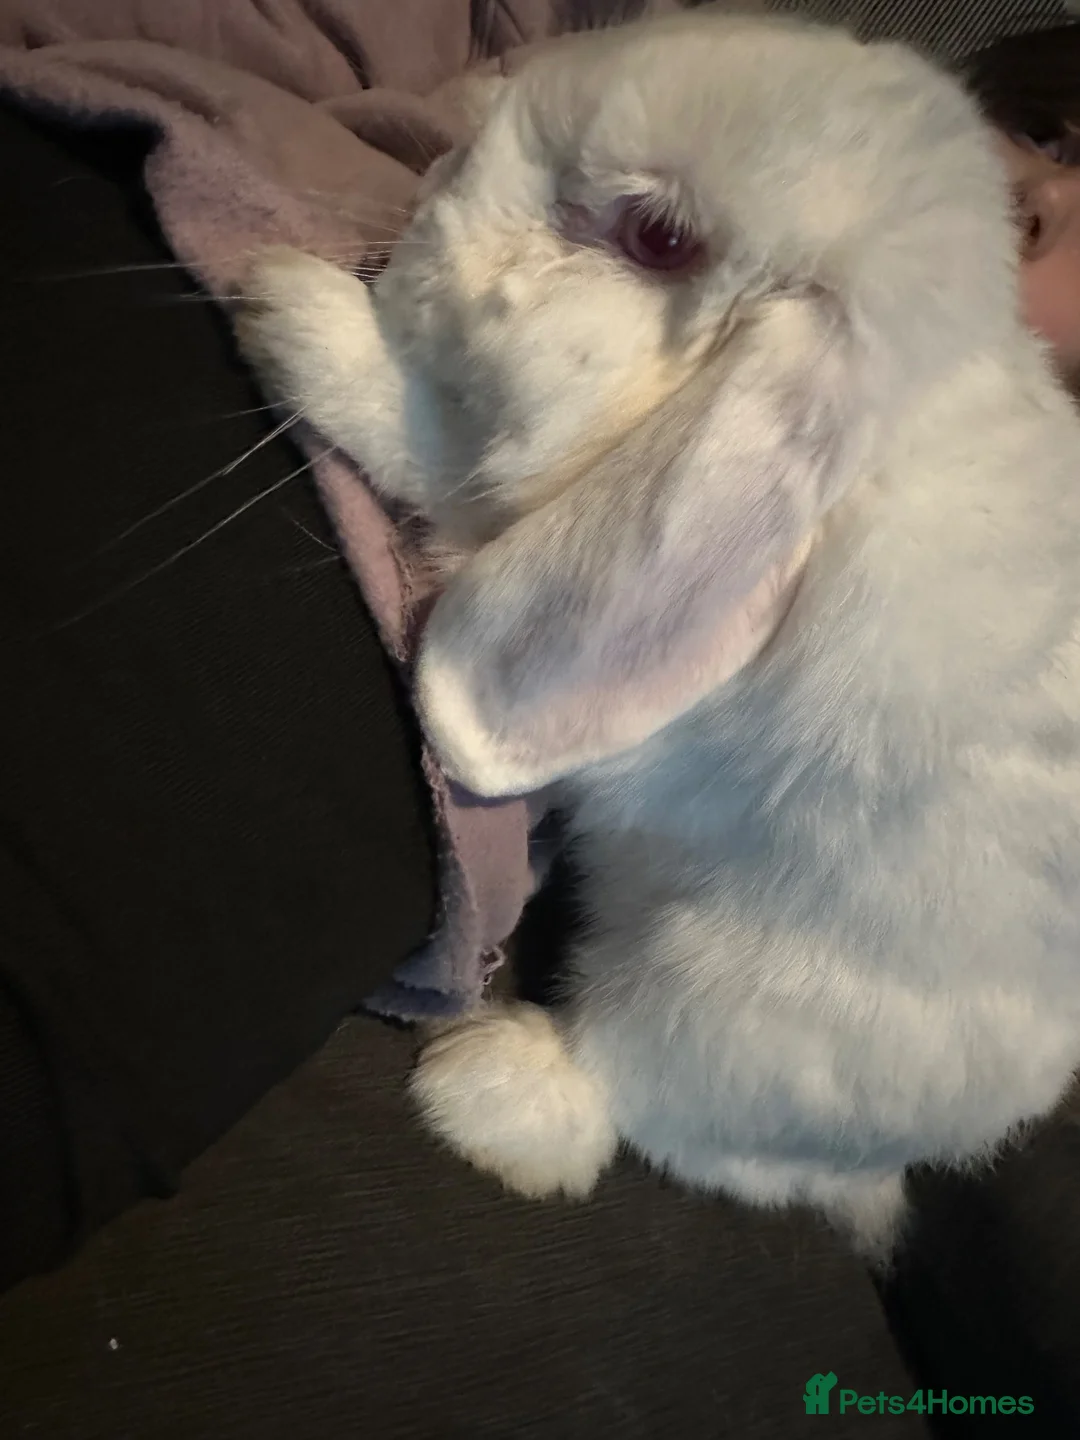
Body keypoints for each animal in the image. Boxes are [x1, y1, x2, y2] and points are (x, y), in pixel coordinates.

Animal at [236, 7, 1080, 1259]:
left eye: (657, 238)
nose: (434, 188)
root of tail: (885, 1165)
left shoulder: (483, 503)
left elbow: (419, 434)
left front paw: (283, 302)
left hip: (717, 1001)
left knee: (622, 1101)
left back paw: (473, 1082)